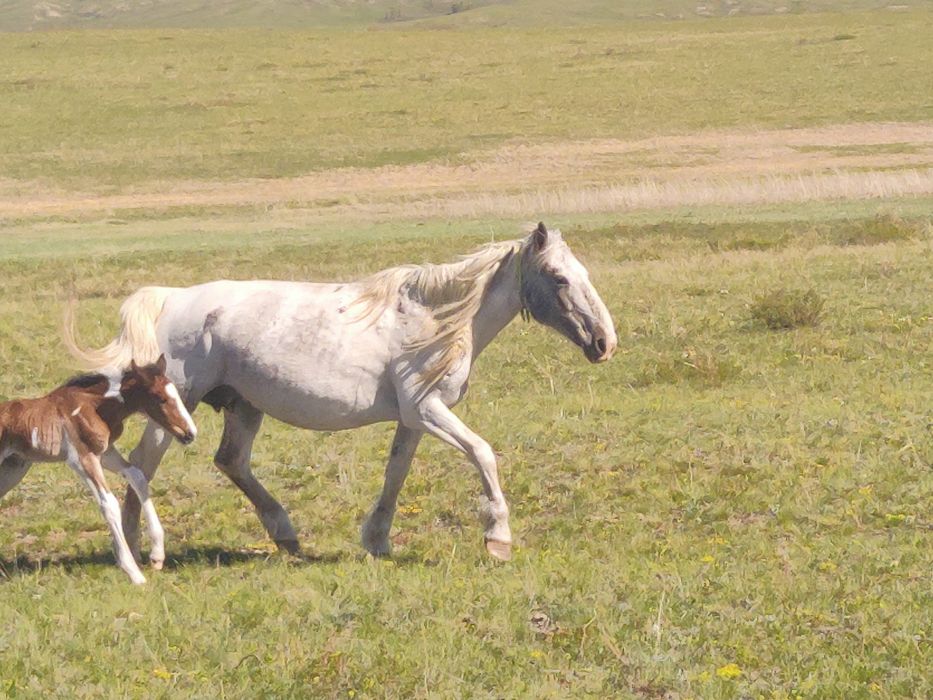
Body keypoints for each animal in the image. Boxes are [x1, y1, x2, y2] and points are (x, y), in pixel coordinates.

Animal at [0, 356, 197, 584]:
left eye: (176, 394)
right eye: (160, 398)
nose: (190, 433)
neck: (93, 406)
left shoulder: (106, 452)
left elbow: (137, 476)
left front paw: (157, 555)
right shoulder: (82, 458)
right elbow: (108, 503)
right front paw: (133, 572)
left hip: (12, 470)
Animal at [64, 222, 616, 563]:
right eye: (558, 277)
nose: (604, 342)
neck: (435, 320)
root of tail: (172, 298)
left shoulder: (414, 419)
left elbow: (396, 473)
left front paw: (377, 541)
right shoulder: (429, 409)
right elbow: (483, 453)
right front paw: (497, 537)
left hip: (244, 406)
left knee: (231, 461)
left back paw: (286, 535)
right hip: (176, 407)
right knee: (142, 465)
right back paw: (137, 548)